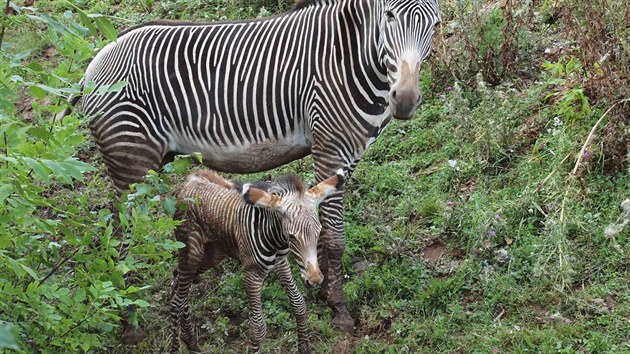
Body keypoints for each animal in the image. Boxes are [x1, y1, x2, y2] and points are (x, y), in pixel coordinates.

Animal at [170, 168, 346, 352]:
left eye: (319, 232)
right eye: (292, 236)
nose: (315, 280)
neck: (275, 237)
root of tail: (190, 180)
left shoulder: (281, 263)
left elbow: (299, 305)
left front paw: (304, 348)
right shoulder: (251, 275)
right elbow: (258, 328)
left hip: (213, 254)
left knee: (177, 281)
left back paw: (191, 341)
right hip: (192, 253)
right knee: (177, 301)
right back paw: (177, 346)